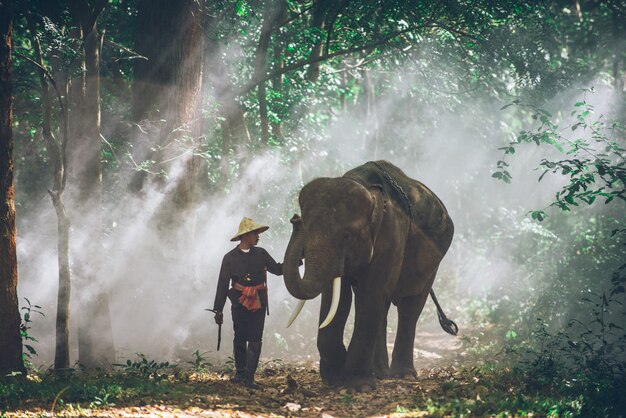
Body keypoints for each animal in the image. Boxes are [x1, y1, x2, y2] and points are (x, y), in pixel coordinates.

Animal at [282, 161, 454, 392]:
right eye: (305, 228)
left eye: (346, 236)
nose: (295, 219)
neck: (367, 189)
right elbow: (337, 298)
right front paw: (335, 379)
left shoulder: (392, 237)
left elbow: (370, 295)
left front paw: (360, 387)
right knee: (384, 308)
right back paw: (380, 374)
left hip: (433, 265)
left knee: (409, 308)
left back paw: (403, 375)